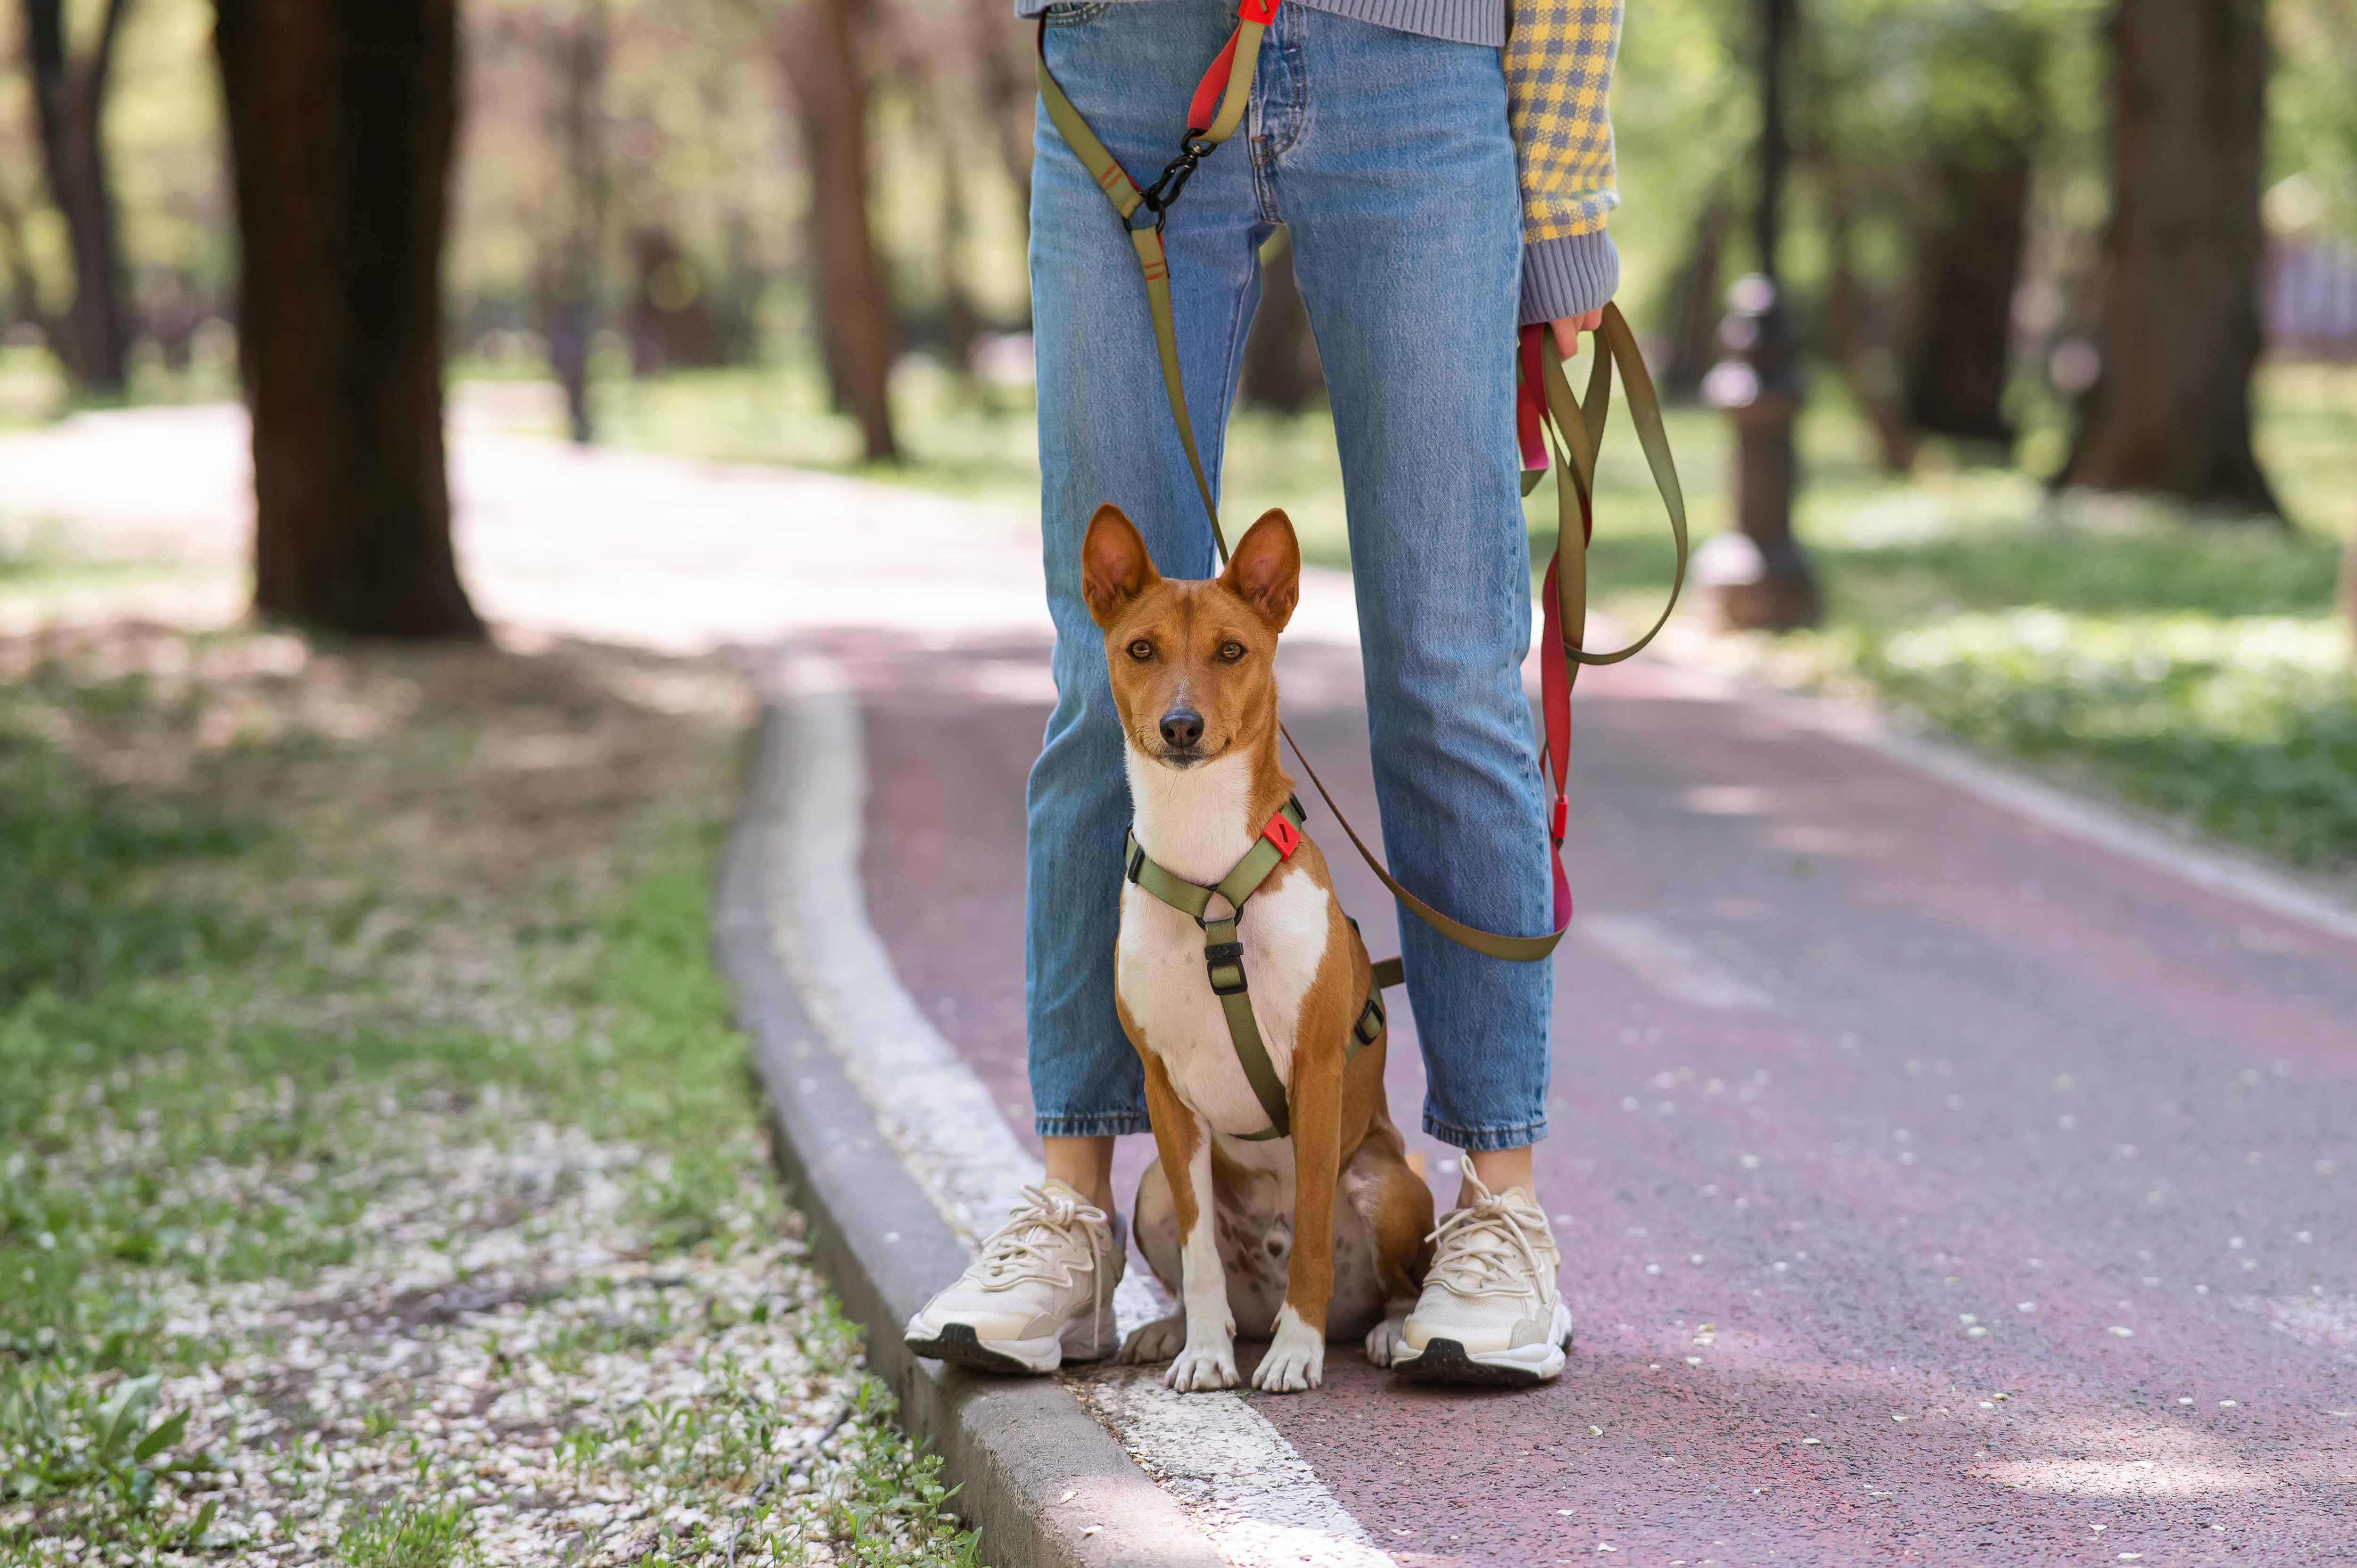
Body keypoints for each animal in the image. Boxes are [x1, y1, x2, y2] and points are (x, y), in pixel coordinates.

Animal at [1075, 504, 1433, 1396]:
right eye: (1142, 649)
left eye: (1232, 650)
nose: (1181, 726)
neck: (1208, 870)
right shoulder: (1165, 1091)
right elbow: (1201, 1254)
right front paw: (1204, 1351)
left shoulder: (1314, 1071)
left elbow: (1309, 1236)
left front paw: (1296, 1355)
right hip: (1150, 1190)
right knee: (1207, 1274)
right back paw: (1174, 1330)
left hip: (1386, 1180)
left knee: (1391, 1281)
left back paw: (1384, 1330)